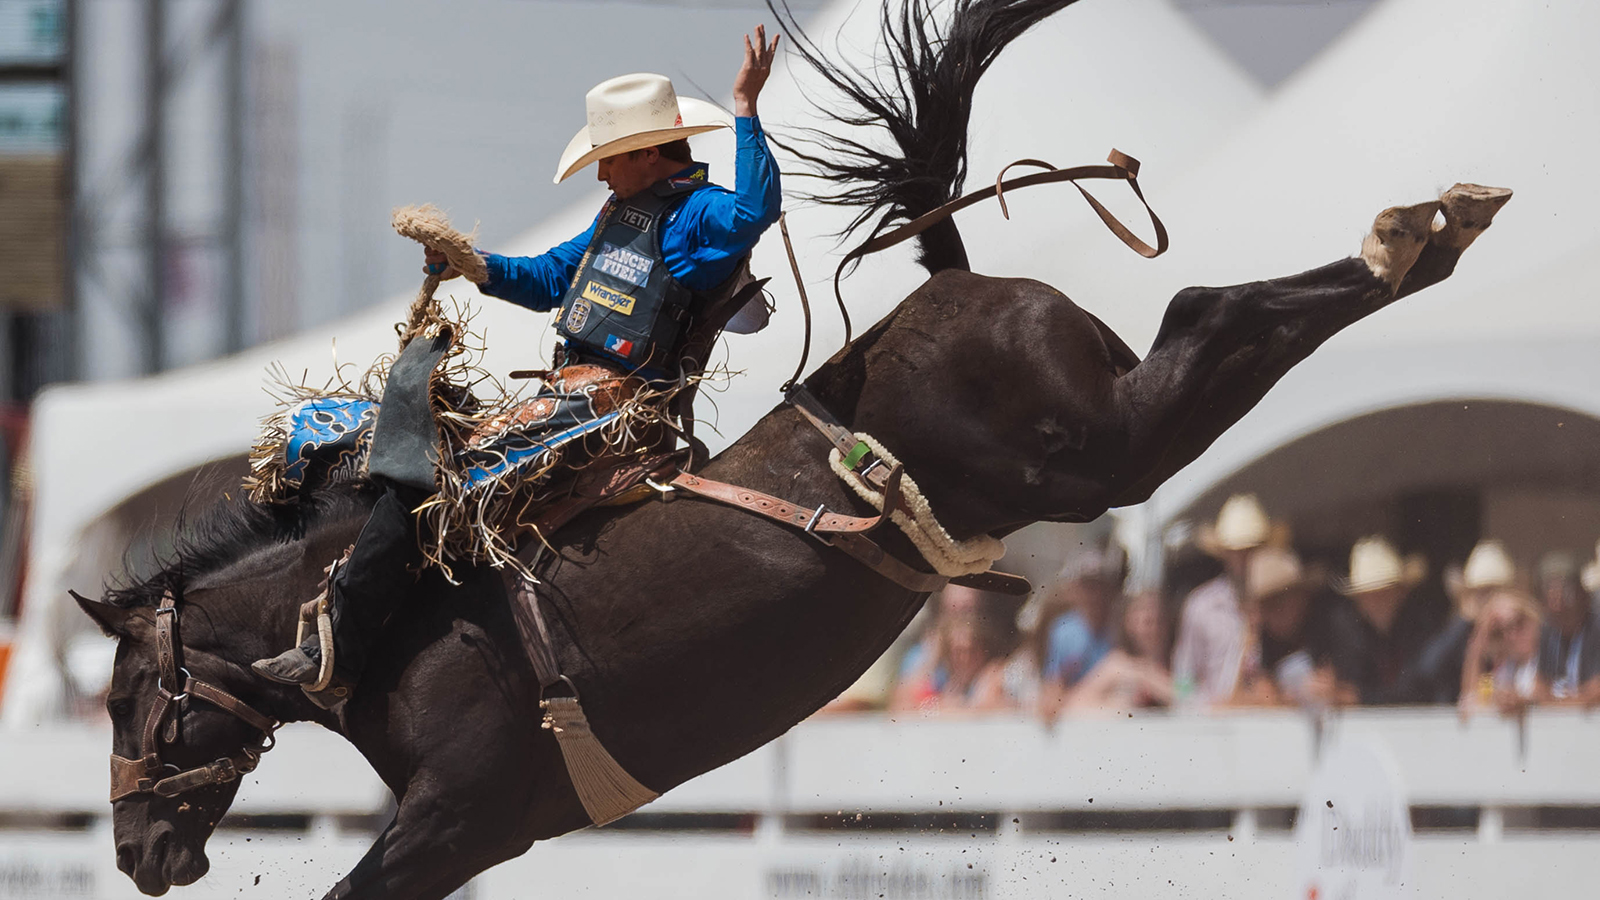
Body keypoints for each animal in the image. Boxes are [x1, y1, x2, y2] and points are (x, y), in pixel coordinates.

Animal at [75, 0, 1510, 890]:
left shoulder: (460, 818)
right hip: (1101, 442)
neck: (390, 612)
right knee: (1220, 321)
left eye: (127, 695)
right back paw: (1432, 230)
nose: (139, 854)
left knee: (1212, 314)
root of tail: (955, 272)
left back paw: (1416, 233)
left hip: (1099, 449)